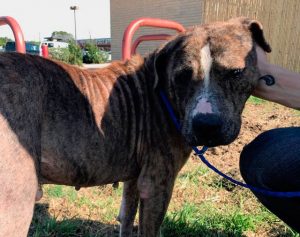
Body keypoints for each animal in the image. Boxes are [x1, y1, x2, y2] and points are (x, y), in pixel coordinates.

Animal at [0, 17, 270, 237]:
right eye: (182, 76)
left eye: (235, 72)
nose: (206, 125)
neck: (162, 93)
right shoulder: (156, 186)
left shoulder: (133, 179)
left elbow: (126, 219)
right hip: (16, 205)